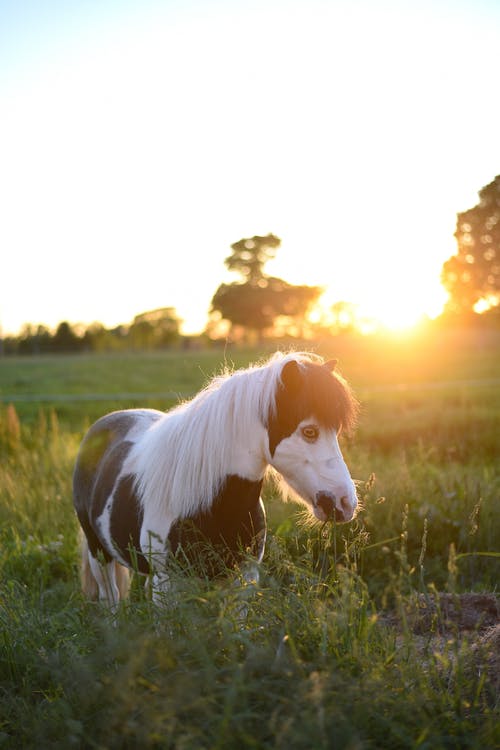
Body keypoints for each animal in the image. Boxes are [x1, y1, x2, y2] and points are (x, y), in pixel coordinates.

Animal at [72, 354, 358, 612]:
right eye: (309, 432)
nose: (346, 502)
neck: (213, 503)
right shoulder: (168, 584)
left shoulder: (242, 579)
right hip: (99, 553)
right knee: (111, 600)